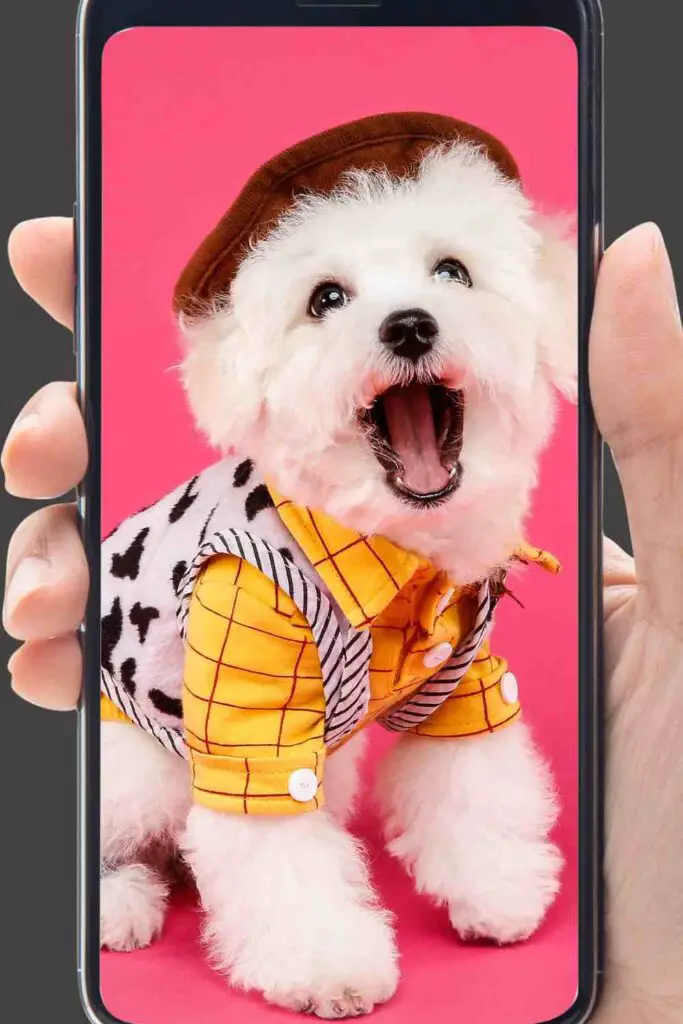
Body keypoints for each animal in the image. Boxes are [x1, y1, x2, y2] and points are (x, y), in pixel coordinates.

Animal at [98, 134, 573, 1015]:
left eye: (451, 271)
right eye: (325, 299)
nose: (410, 325)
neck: (387, 544)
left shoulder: (461, 678)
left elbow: (475, 784)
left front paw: (498, 891)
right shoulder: (254, 726)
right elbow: (281, 854)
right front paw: (330, 966)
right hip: (137, 764)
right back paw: (119, 904)